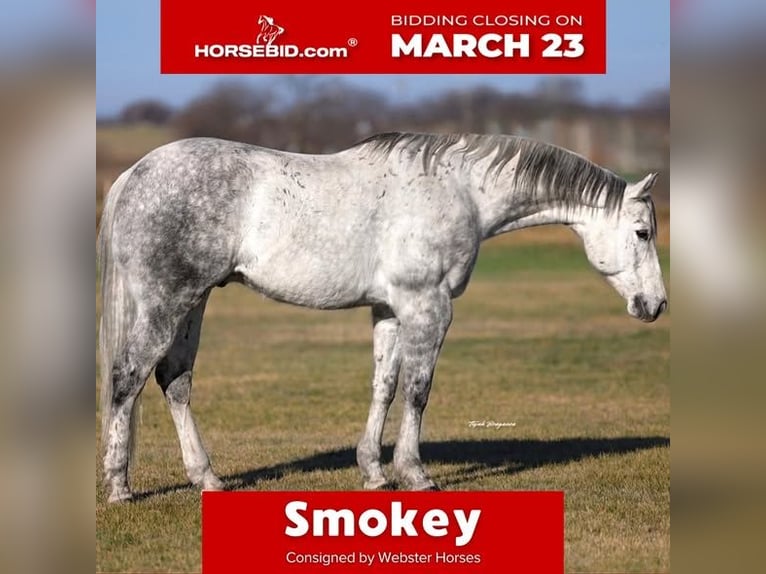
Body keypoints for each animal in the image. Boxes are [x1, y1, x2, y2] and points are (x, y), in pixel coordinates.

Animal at [98, 132, 667, 502]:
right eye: (642, 233)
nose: (656, 305)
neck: (460, 191)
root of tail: (133, 173)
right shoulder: (429, 306)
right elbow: (418, 389)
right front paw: (416, 474)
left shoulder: (391, 310)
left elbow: (385, 386)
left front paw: (373, 471)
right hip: (167, 301)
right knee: (128, 378)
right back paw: (120, 487)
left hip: (194, 302)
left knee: (174, 381)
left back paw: (207, 478)